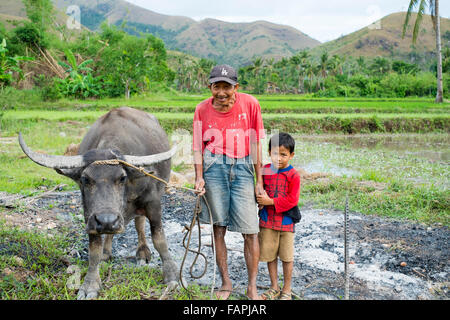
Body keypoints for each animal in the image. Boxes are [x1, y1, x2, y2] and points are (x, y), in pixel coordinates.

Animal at [18, 107, 179, 300]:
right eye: (84, 179)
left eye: (122, 178)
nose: (107, 220)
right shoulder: (90, 215)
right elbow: (94, 250)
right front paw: (90, 285)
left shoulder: (153, 202)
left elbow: (159, 239)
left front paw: (172, 276)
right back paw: (107, 252)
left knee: (139, 223)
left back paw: (142, 252)